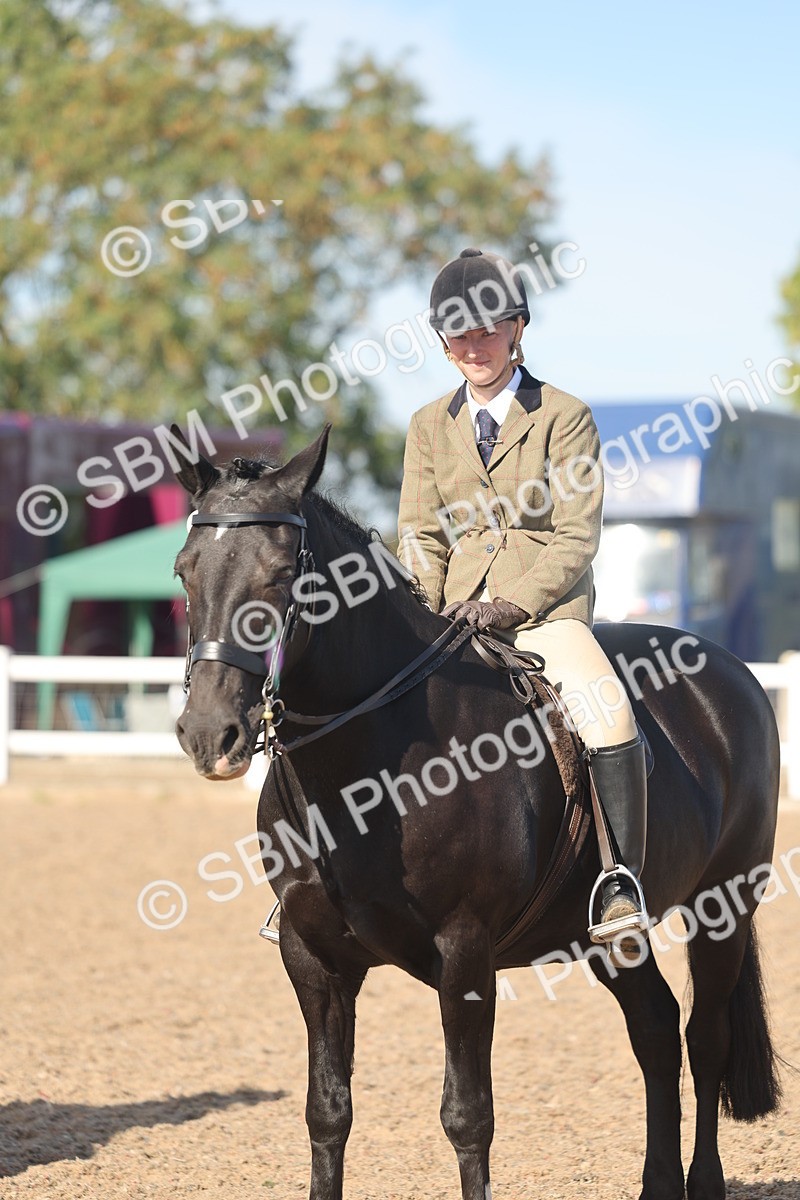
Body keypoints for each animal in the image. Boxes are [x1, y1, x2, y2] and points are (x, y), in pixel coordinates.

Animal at [171, 425, 782, 1200]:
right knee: (654, 1028)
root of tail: (730, 670)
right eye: (185, 572)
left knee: (705, 1039)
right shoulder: (313, 958)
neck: (365, 769)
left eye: (281, 575)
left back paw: (701, 1181)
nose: (208, 733)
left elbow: (467, 1115)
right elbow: (327, 1111)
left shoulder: (465, 951)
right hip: (605, 934)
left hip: (723, 906)